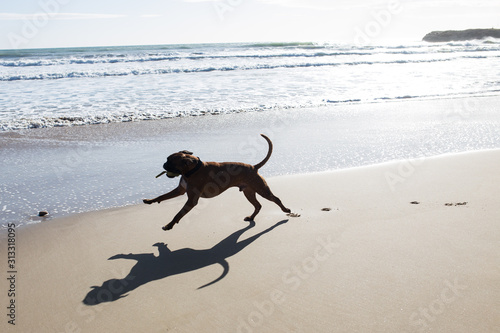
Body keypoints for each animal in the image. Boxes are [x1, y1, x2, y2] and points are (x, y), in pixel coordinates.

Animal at [143, 134, 292, 230]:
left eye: (170, 162)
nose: (163, 164)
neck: (192, 170)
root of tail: (253, 167)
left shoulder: (191, 201)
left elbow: (178, 214)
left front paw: (169, 225)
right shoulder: (180, 190)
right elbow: (162, 196)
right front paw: (150, 200)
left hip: (262, 189)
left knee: (276, 199)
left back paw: (286, 210)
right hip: (249, 192)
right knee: (258, 205)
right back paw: (251, 217)